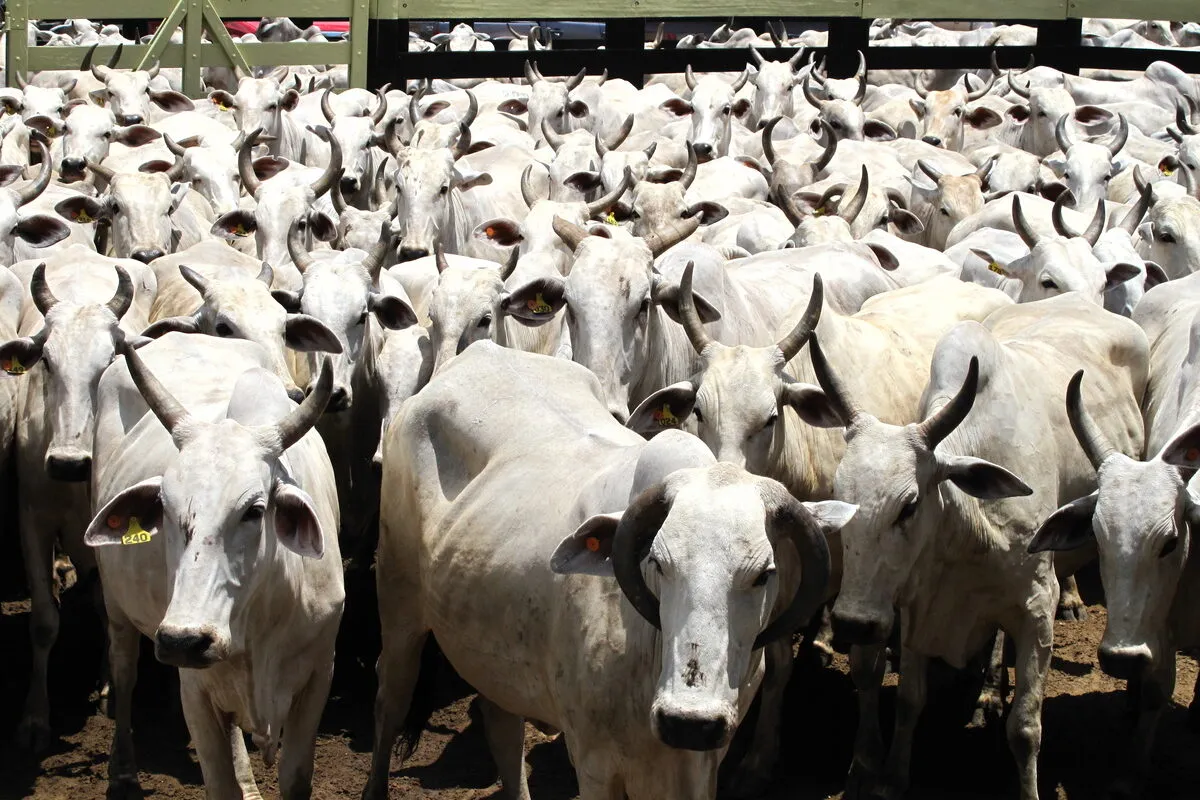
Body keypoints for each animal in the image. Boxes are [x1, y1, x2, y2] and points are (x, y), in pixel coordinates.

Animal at [84, 335, 343, 799]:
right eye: (165, 506)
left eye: (254, 510)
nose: (184, 640)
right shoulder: (195, 690)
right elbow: (218, 782)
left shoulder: (317, 676)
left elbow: (295, 778)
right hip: (118, 606)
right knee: (125, 671)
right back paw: (124, 770)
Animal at [364, 340, 849, 800]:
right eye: (657, 562)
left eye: (764, 572)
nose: (689, 722)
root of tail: (478, 353)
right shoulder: (594, 762)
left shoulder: (703, 764)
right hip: (398, 598)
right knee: (390, 696)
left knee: (501, 724)